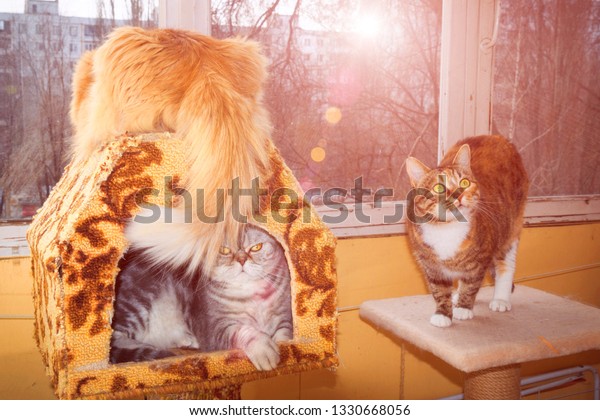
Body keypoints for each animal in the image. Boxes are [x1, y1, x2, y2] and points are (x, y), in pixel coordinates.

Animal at [406, 136, 528, 326]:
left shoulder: (480, 260)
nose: (459, 195)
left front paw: (463, 308)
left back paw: (501, 299)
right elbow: (439, 290)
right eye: (439, 188)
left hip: (511, 229)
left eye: (464, 182)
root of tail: (499, 138)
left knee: (506, 264)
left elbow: (470, 286)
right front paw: (443, 313)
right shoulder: (430, 265)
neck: (446, 229)